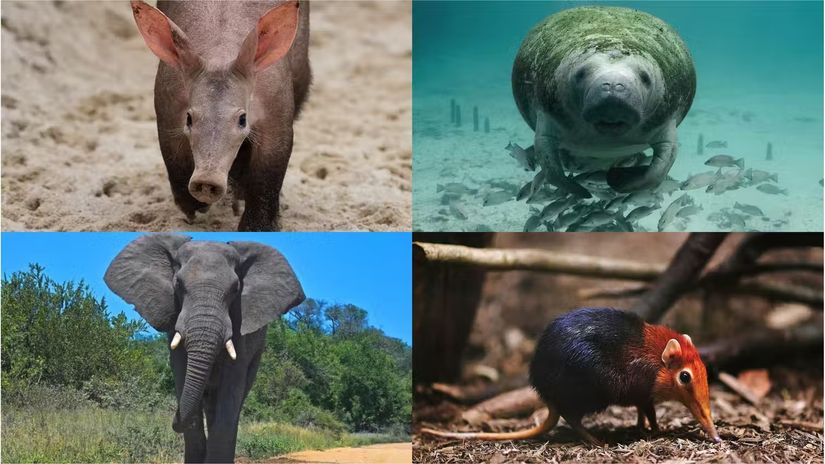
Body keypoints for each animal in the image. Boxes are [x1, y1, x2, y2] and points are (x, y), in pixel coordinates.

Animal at [104, 234, 304, 462]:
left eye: (236, 289)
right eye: (178, 284)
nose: (175, 419)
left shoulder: (240, 323)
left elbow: (232, 388)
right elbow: (182, 373)